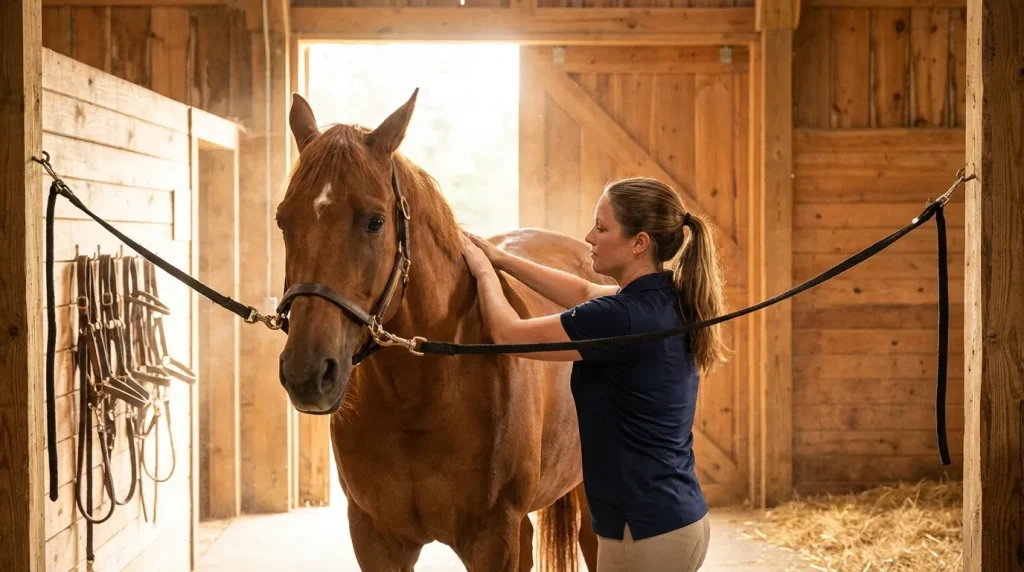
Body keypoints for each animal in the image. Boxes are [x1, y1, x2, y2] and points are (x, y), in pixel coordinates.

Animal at [274, 88, 609, 571]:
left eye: (375, 221)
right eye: (283, 220)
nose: (307, 374)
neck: (420, 394)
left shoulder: (492, 540)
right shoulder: (375, 539)